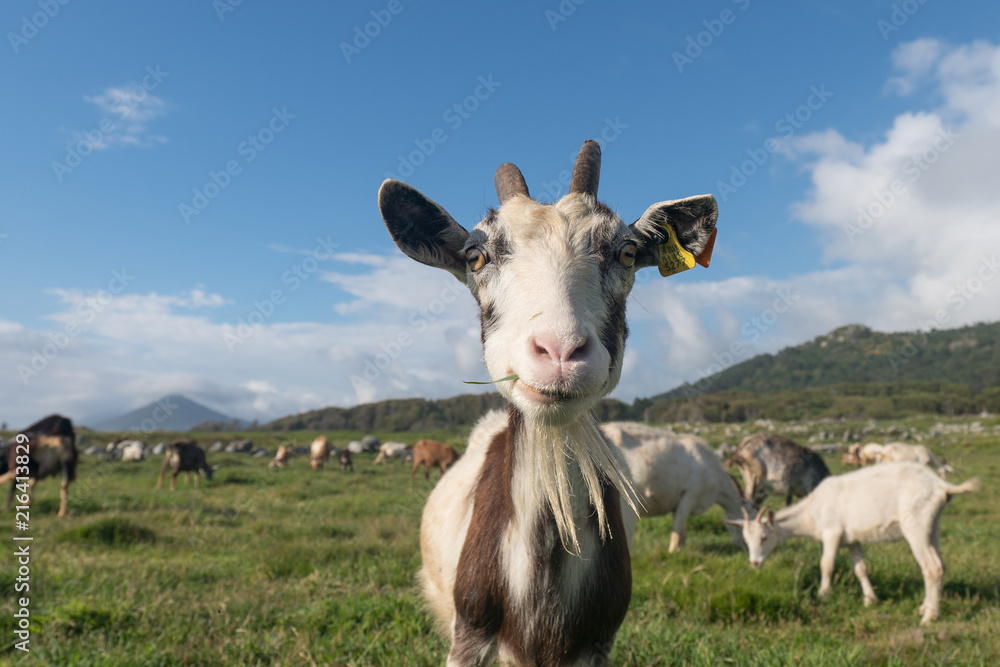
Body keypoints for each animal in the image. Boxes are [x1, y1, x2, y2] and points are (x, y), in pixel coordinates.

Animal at [602, 421, 752, 552]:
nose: (745, 547)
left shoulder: (678, 503)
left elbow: (680, 530)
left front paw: (680, 550)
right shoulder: (689, 496)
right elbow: (678, 532)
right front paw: (673, 551)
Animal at [731, 462, 978, 625]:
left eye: (764, 537)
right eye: (746, 539)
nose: (754, 563)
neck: (812, 511)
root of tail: (941, 486)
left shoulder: (832, 532)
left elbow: (826, 564)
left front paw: (823, 594)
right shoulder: (852, 540)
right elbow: (860, 568)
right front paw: (870, 599)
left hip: (916, 525)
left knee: (931, 567)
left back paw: (929, 616)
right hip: (933, 526)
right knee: (941, 563)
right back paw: (924, 607)